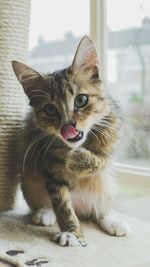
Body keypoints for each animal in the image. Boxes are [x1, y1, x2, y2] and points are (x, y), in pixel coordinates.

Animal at [11, 36, 129, 249]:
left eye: (81, 100)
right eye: (50, 110)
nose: (68, 126)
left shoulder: (113, 136)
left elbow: (101, 159)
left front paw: (79, 159)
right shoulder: (50, 169)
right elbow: (63, 207)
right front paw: (72, 233)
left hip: (107, 185)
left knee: (99, 211)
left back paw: (112, 220)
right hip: (30, 179)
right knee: (49, 204)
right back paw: (44, 213)